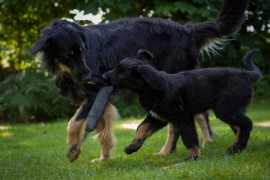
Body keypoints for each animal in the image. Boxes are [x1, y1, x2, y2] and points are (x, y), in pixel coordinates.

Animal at [103, 48, 262, 159]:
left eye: (121, 72)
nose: (103, 76)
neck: (152, 88)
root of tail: (246, 75)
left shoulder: (182, 116)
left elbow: (189, 137)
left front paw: (193, 156)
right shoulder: (157, 116)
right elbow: (141, 127)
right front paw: (132, 147)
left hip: (225, 108)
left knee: (247, 123)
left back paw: (237, 147)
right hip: (230, 109)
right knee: (239, 127)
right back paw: (236, 148)